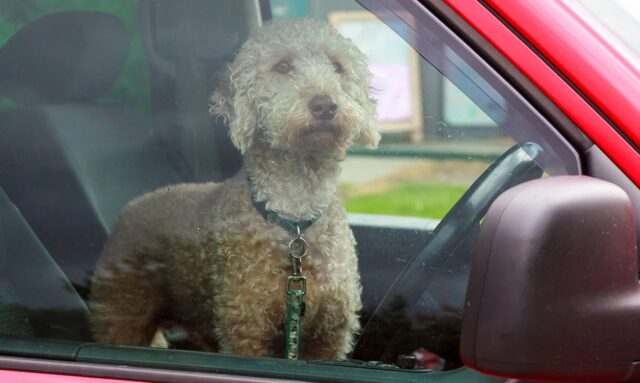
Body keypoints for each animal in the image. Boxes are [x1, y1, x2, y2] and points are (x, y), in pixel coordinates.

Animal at [90, 17, 380, 360]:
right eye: (282, 66)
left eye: (337, 66)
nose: (325, 104)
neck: (294, 216)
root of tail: (130, 207)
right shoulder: (246, 328)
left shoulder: (329, 336)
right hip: (121, 312)